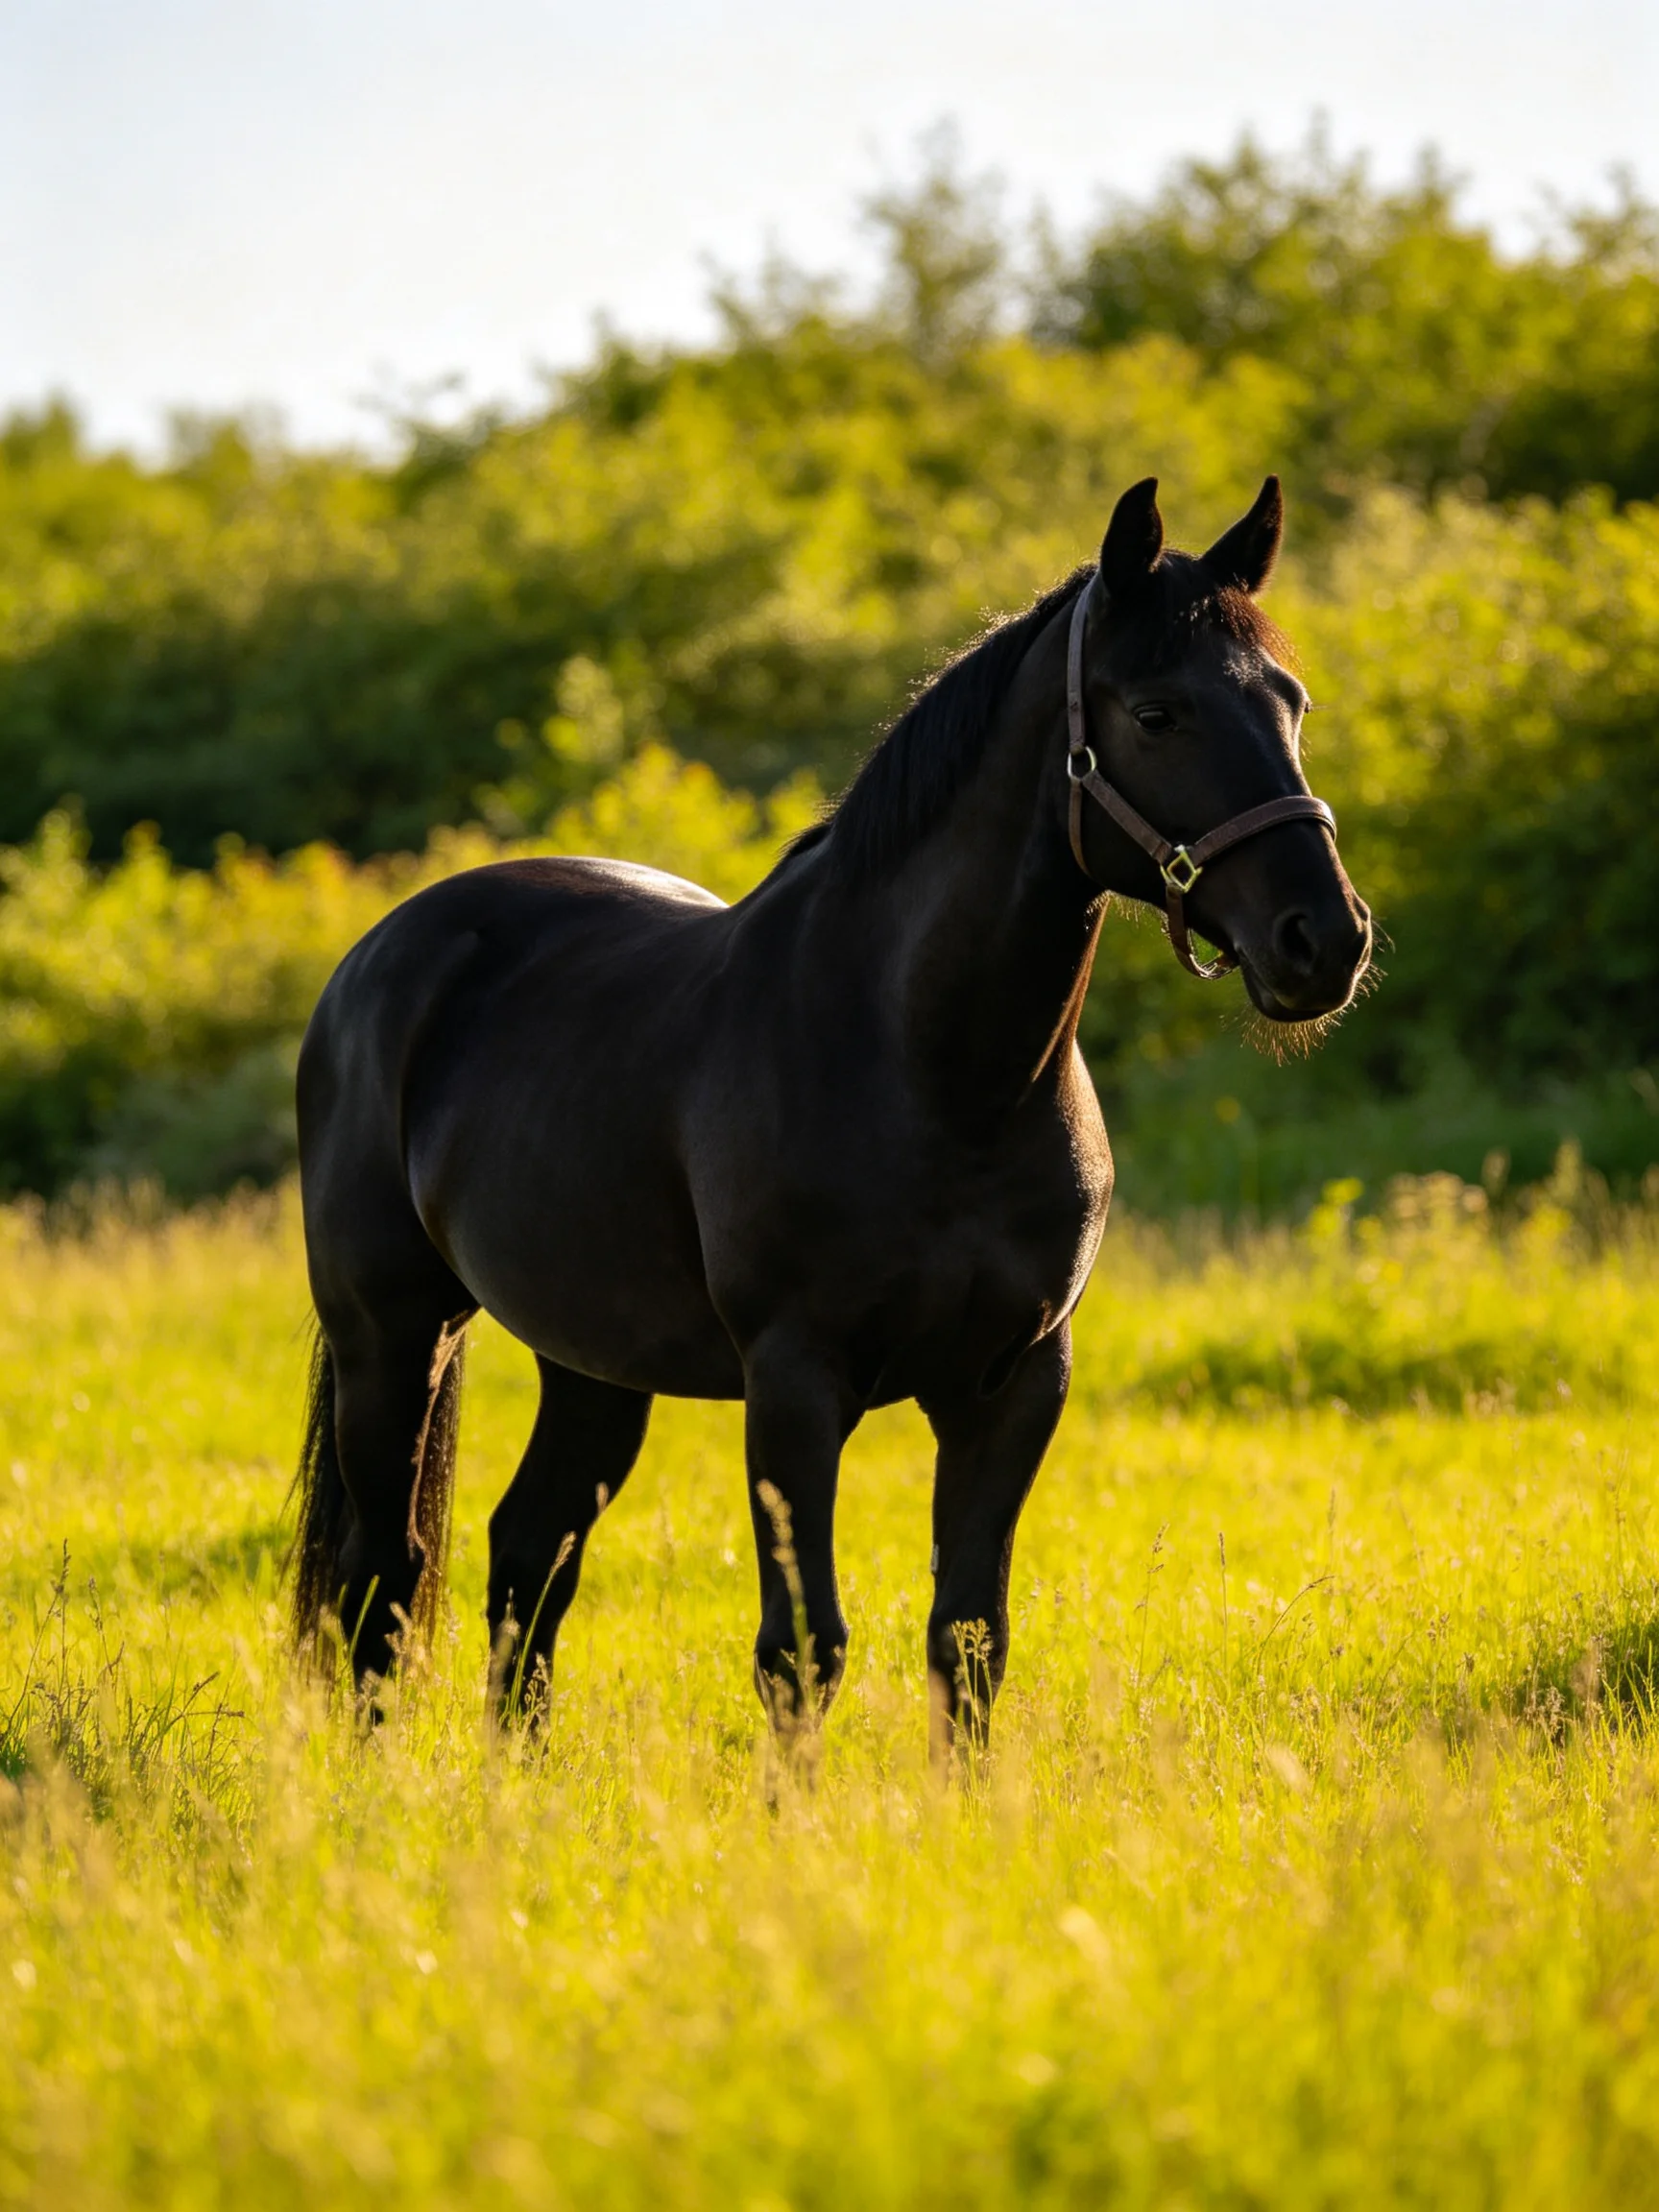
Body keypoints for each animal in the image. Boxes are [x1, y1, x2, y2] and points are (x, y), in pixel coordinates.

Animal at [290, 474, 1372, 1755]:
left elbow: (970, 1639)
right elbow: (802, 1650)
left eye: (1289, 701)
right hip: (393, 1336)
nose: (1326, 940)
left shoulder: (1013, 1387)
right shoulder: (797, 1387)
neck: (939, 1076)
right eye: (1158, 713)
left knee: (527, 1550)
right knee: (383, 1568)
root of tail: (379, 956)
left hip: (592, 1359)